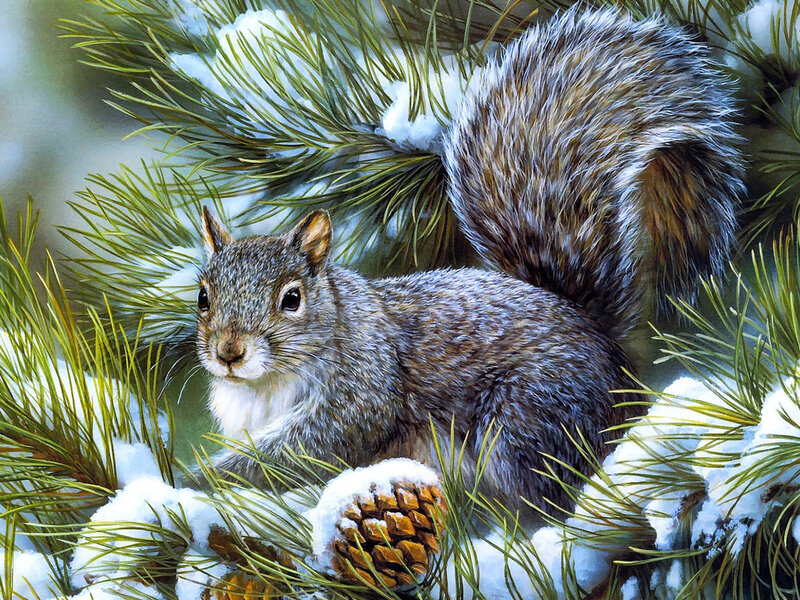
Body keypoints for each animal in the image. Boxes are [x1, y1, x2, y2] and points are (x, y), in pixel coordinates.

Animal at [195, 7, 744, 514]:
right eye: (202, 297)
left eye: (292, 299)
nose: (228, 353)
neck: (264, 384)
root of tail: (610, 355)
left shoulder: (363, 389)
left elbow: (306, 449)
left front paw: (209, 478)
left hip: (528, 420)